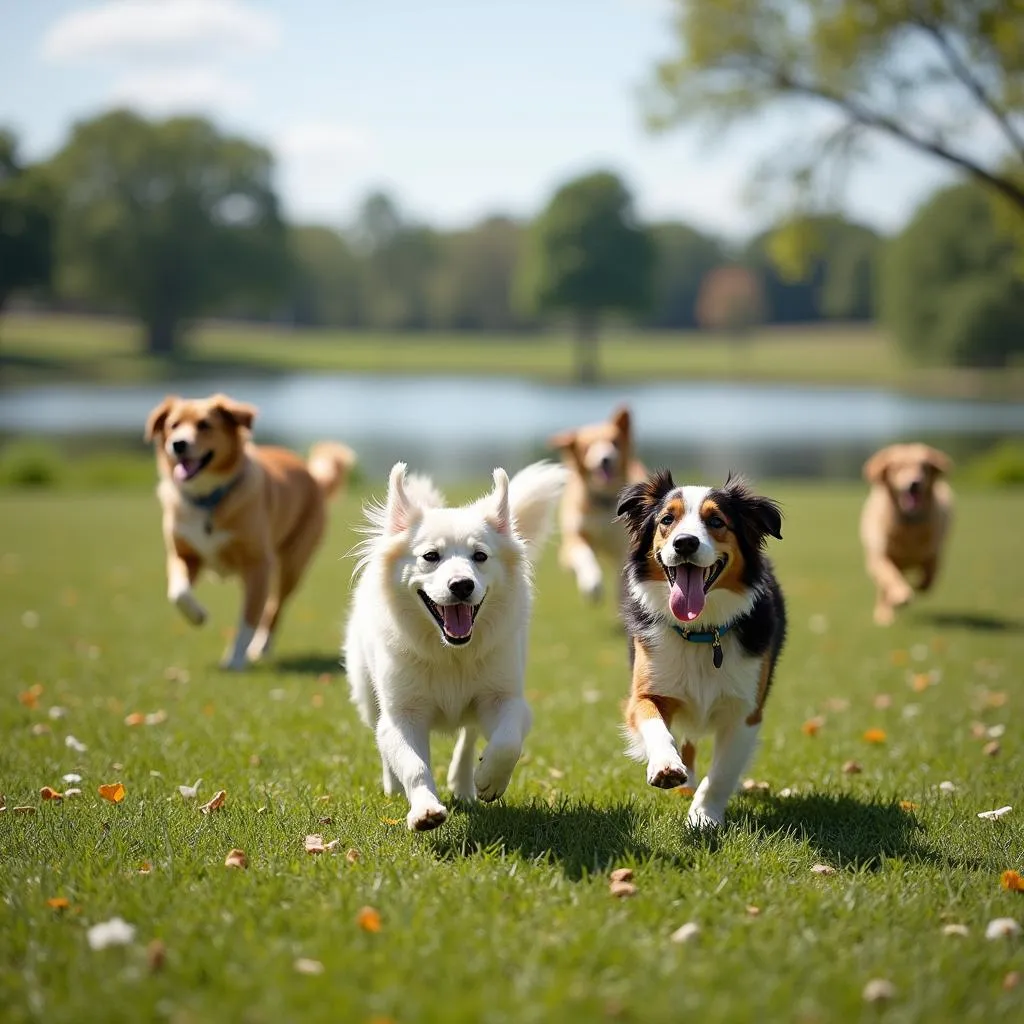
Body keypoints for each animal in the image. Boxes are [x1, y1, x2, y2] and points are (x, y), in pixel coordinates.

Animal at [346, 460, 569, 827]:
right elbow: (413, 764)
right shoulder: (404, 713)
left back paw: (465, 784)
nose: (462, 585)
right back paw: (394, 786)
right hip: (367, 694)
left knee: (468, 735)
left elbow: (507, 742)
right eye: (430, 556)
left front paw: (489, 780)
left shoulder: (504, 699)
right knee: (381, 735)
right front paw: (425, 809)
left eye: (480, 556)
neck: (451, 652)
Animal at [548, 403, 643, 598]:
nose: (605, 459)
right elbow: (584, 555)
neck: (603, 503)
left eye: (614, 442)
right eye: (587, 447)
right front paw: (593, 584)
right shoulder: (574, 538)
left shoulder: (623, 545)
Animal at [614, 471, 782, 831]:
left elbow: (721, 773)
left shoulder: (746, 711)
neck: (702, 633)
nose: (685, 543)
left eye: (716, 521)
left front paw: (704, 815)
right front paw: (666, 766)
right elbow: (655, 725)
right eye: (667, 520)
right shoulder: (645, 693)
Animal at [856, 440, 950, 622]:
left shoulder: (933, 550)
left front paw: (920, 585)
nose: (915, 484)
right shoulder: (880, 555)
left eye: (924, 467)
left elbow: (931, 571)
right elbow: (890, 577)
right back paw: (885, 612)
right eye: (898, 467)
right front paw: (901, 596)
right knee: (885, 587)